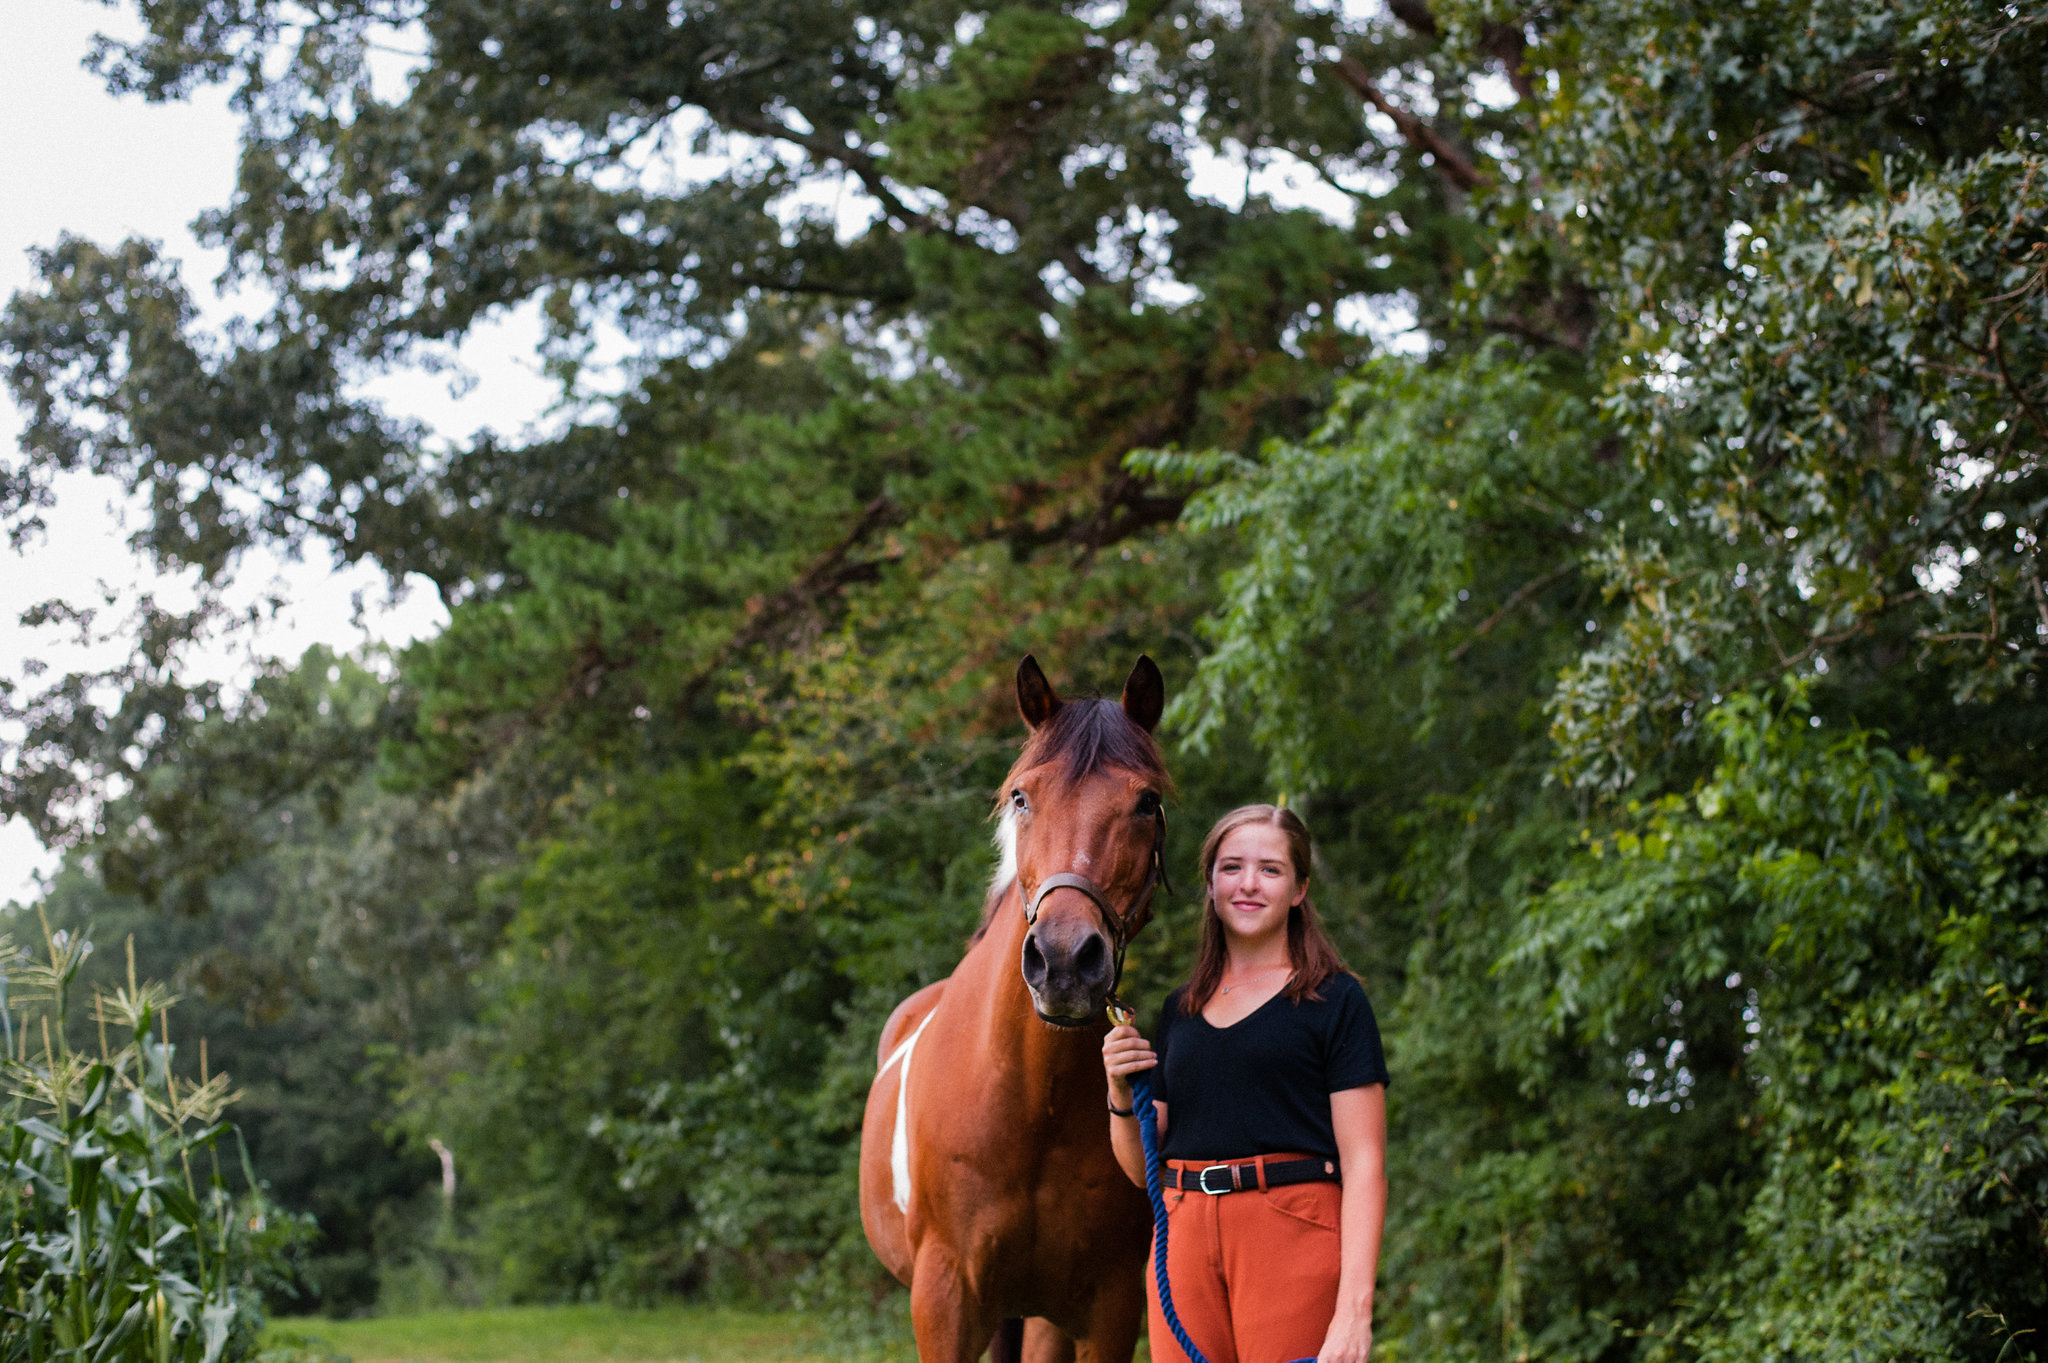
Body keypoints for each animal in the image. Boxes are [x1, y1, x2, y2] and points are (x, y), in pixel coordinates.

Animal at [864, 654, 1179, 1358]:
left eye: (1147, 801)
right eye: (1021, 797)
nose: (1063, 962)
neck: (1030, 1101)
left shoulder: (1109, 1309)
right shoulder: (943, 1300)